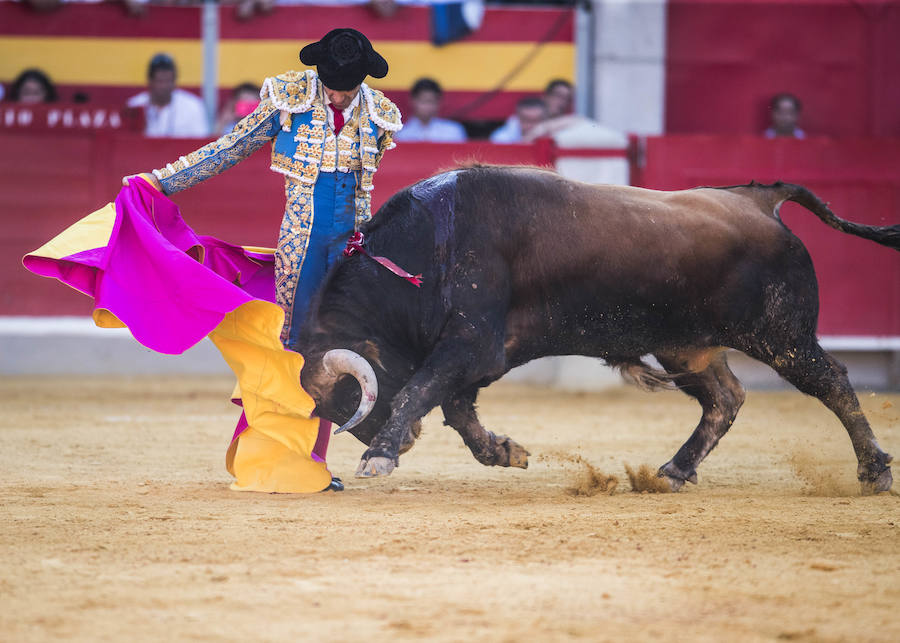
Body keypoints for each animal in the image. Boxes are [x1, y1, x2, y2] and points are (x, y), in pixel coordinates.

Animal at [298, 166, 900, 494]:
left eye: (350, 396)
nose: (394, 439)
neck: (427, 250)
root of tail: (758, 200)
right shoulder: (475, 356)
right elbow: (457, 409)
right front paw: (506, 452)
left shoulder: (471, 345)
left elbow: (423, 390)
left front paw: (380, 455)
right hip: (686, 346)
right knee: (726, 397)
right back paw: (674, 471)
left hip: (782, 337)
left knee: (833, 383)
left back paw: (874, 471)